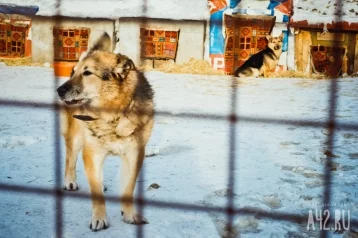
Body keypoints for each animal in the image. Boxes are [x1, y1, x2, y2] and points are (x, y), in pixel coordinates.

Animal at [56, 33, 155, 231]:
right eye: (72, 72)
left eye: (87, 73)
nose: (59, 90)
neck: (113, 116)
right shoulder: (92, 153)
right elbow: (96, 193)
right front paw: (99, 217)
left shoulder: (135, 154)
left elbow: (128, 188)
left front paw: (129, 214)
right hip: (76, 138)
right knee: (70, 158)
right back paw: (70, 181)